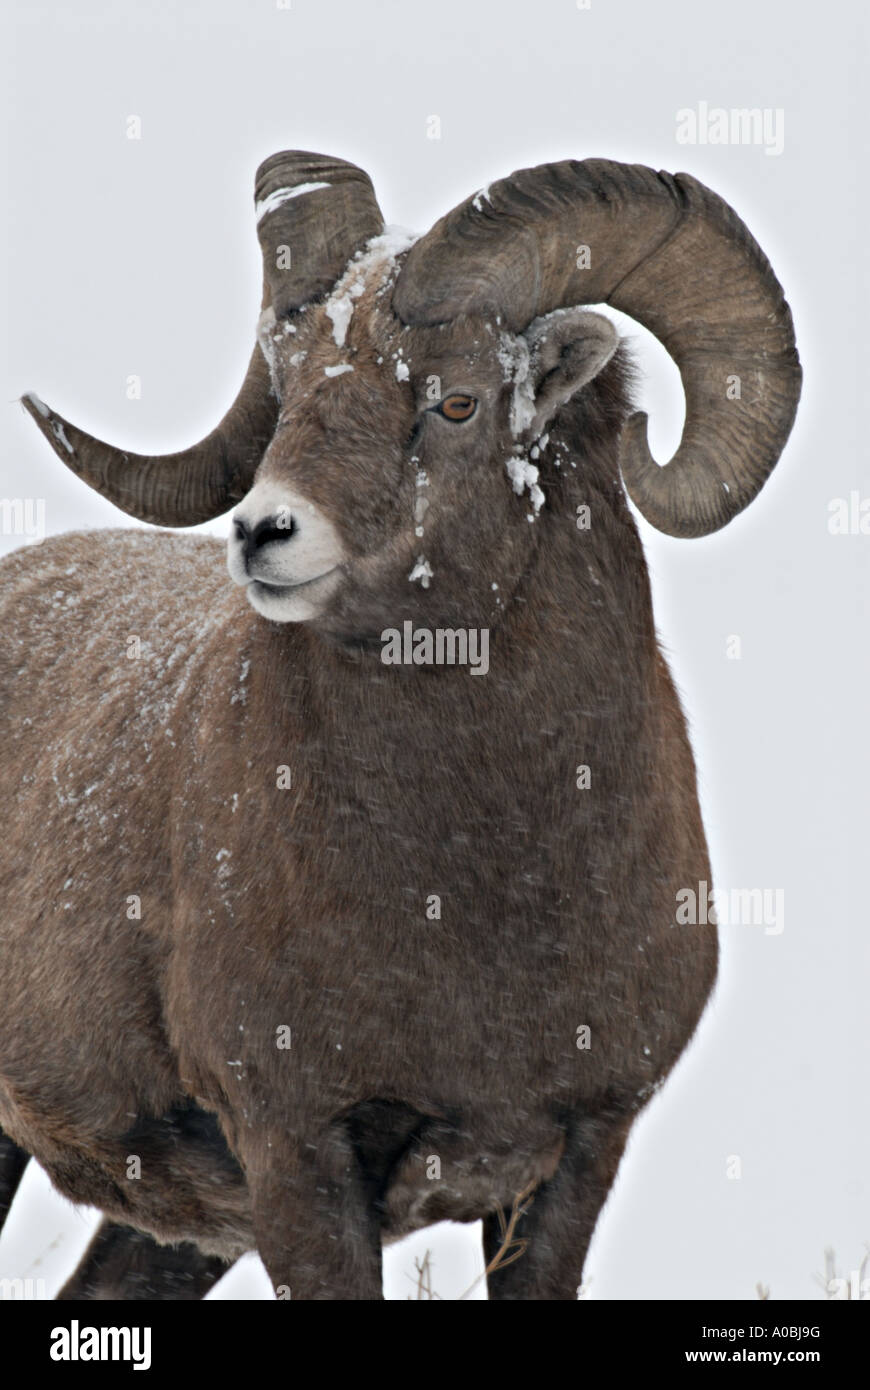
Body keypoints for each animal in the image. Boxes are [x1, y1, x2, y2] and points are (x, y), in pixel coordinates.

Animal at [0, 150, 801, 1300]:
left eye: (458, 401)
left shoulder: (575, 1163)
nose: (262, 533)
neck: (477, 893)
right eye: (289, 388)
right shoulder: (298, 1155)